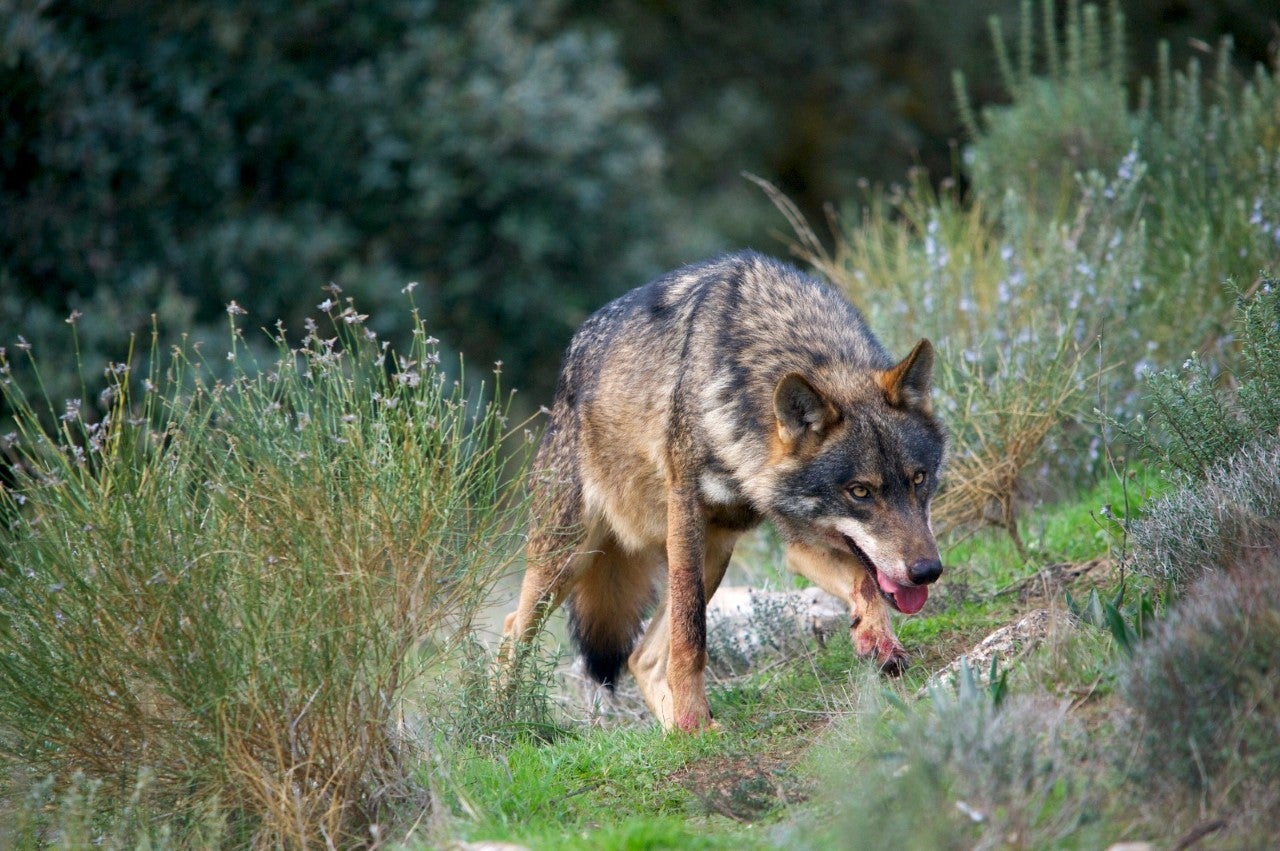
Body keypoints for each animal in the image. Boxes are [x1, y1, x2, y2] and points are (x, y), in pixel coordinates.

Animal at [501, 251, 946, 732]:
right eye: (860, 492)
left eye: (918, 479)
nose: (927, 571)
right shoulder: (686, 513)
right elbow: (691, 636)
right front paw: (693, 715)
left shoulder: (800, 540)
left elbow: (864, 582)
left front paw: (877, 641)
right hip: (570, 558)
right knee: (512, 631)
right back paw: (501, 721)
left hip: (714, 553)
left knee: (641, 658)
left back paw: (679, 734)